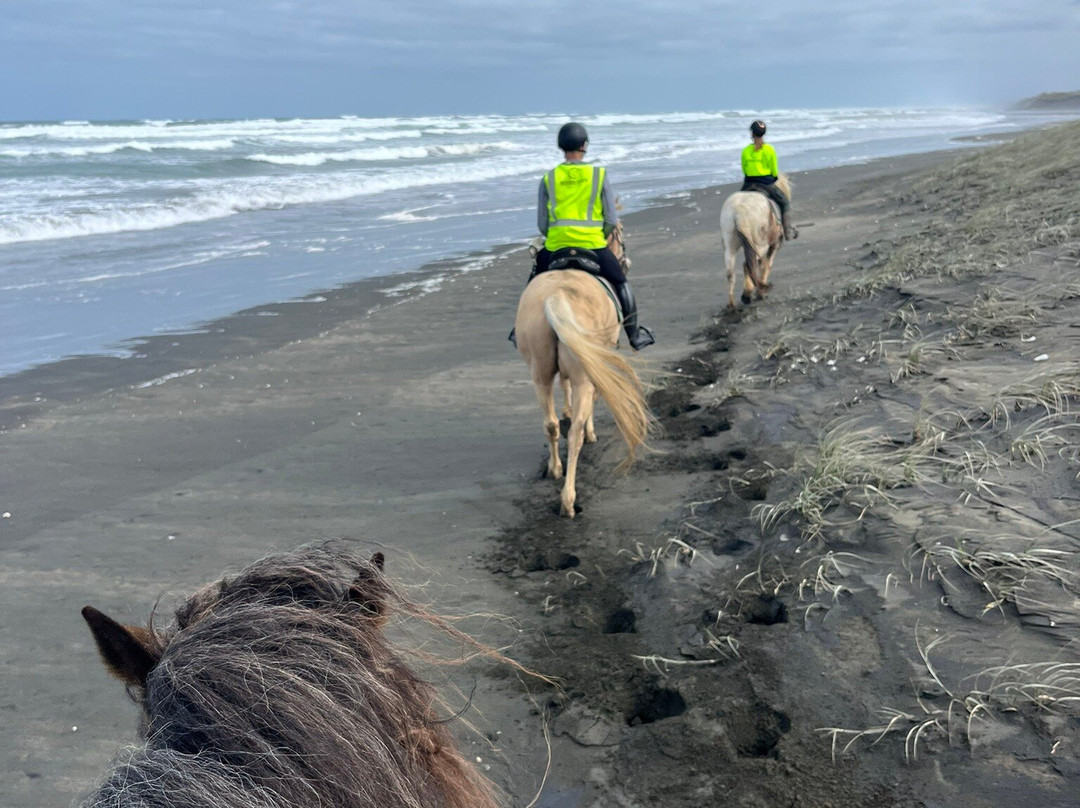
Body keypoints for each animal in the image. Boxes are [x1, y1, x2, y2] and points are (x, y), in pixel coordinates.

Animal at [513, 225, 650, 518]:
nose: (626, 261)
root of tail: (556, 296)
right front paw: (591, 431)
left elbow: (564, 389)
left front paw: (567, 411)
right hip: (584, 375)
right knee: (574, 433)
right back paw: (568, 500)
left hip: (539, 374)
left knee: (551, 424)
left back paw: (555, 469)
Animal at [719, 173, 792, 310]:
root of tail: (737, 213)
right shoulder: (773, 245)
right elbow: (766, 265)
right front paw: (759, 293)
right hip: (760, 244)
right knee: (749, 265)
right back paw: (749, 294)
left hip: (730, 245)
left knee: (730, 273)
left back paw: (732, 305)